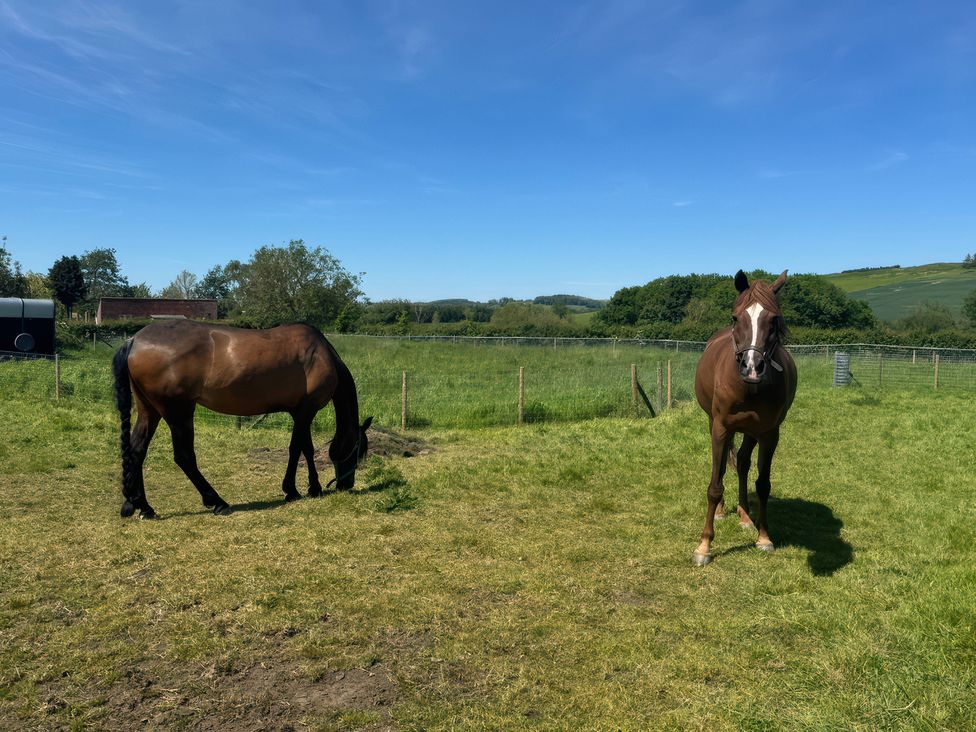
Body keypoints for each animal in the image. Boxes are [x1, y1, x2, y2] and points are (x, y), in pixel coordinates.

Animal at [111, 319, 372, 519]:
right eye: (359, 450)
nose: (346, 485)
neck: (321, 354)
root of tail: (133, 341)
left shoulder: (300, 413)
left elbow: (304, 448)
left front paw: (307, 488)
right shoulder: (306, 412)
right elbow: (297, 448)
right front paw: (299, 489)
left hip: (149, 410)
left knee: (137, 450)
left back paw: (143, 506)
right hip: (179, 413)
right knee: (184, 457)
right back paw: (216, 501)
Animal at [691, 270, 797, 566]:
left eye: (774, 320)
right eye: (735, 318)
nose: (752, 367)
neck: (748, 387)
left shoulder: (770, 434)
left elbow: (763, 484)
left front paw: (763, 537)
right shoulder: (720, 428)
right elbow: (714, 485)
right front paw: (704, 546)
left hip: (752, 431)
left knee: (742, 462)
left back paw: (745, 514)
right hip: (715, 424)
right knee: (725, 466)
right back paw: (722, 511)